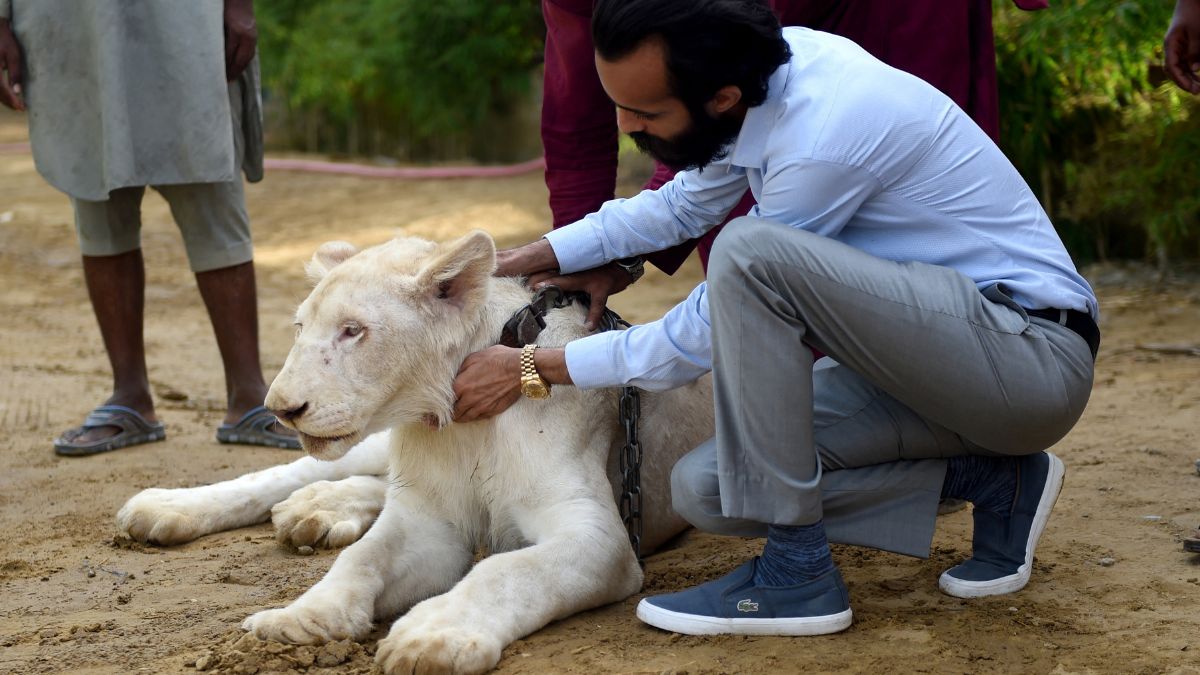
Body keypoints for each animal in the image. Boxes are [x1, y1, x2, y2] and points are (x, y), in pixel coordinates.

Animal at [116, 231, 714, 674]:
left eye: (353, 330)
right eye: (300, 327)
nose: (282, 408)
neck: (454, 424)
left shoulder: (600, 539)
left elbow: (506, 571)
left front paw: (432, 637)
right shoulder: (429, 519)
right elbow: (363, 558)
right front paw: (300, 620)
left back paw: (316, 511)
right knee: (298, 472)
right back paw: (170, 508)